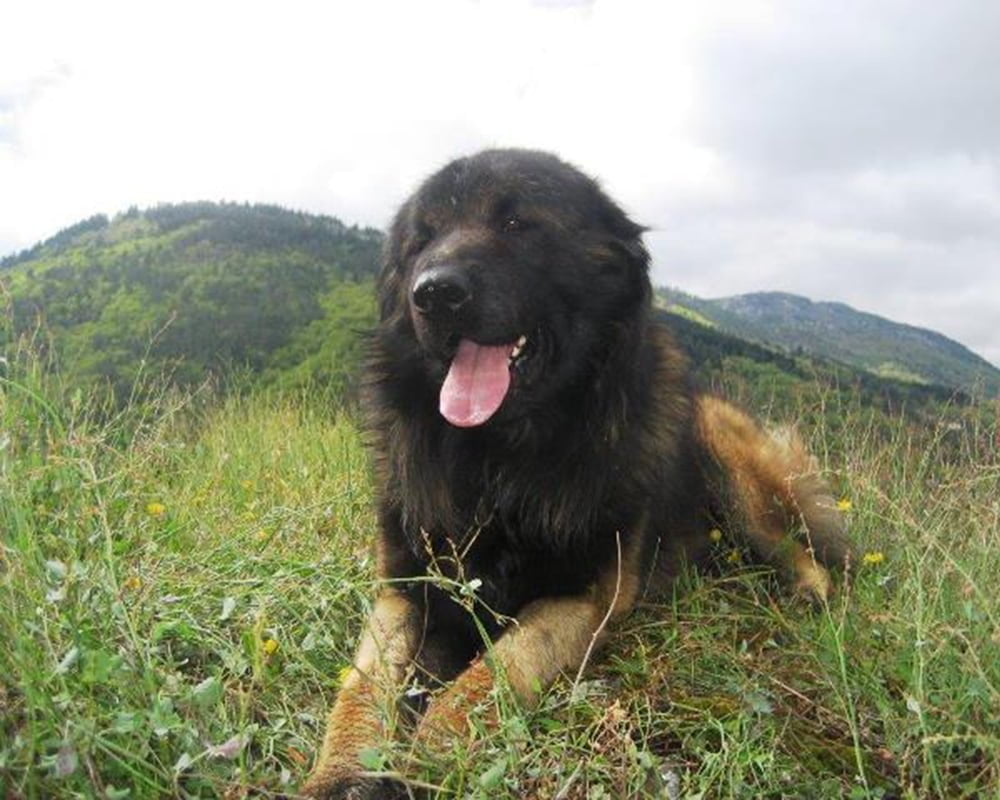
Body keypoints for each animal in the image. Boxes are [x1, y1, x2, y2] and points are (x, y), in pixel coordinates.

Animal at [300, 150, 848, 800]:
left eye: (516, 223)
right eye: (421, 239)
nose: (433, 293)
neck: (497, 462)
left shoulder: (581, 597)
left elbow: (488, 678)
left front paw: (425, 757)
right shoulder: (403, 588)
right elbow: (362, 687)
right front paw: (341, 772)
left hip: (724, 450)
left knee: (799, 546)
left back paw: (808, 592)